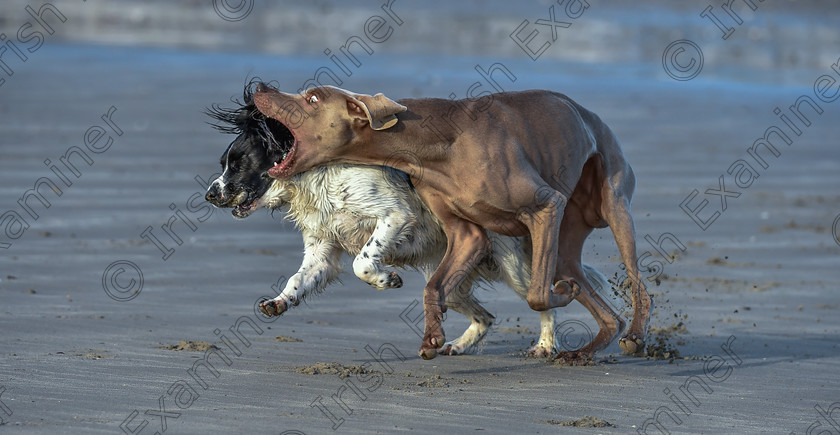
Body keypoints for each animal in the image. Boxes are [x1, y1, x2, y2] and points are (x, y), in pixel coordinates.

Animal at [204, 85, 616, 358]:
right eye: (226, 163)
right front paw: (278, 302)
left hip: (512, 264)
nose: (209, 194)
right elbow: (298, 279)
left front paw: (386, 279)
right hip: (449, 275)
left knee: (542, 299)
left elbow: (362, 261)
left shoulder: (394, 214)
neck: (316, 175)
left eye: (237, 163)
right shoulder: (322, 249)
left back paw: (545, 345)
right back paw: (455, 345)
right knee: (484, 315)